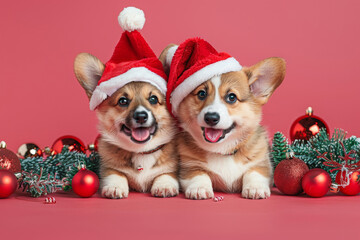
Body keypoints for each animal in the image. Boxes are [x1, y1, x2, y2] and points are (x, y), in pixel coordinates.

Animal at [162, 40, 286, 200]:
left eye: (231, 97)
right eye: (201, 94)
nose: (211, 117)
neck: (222, 151)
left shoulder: (262, 163)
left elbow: (254, 172)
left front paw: (255, 188)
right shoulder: (189, 165)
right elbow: (198, 174)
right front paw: (199, 188)